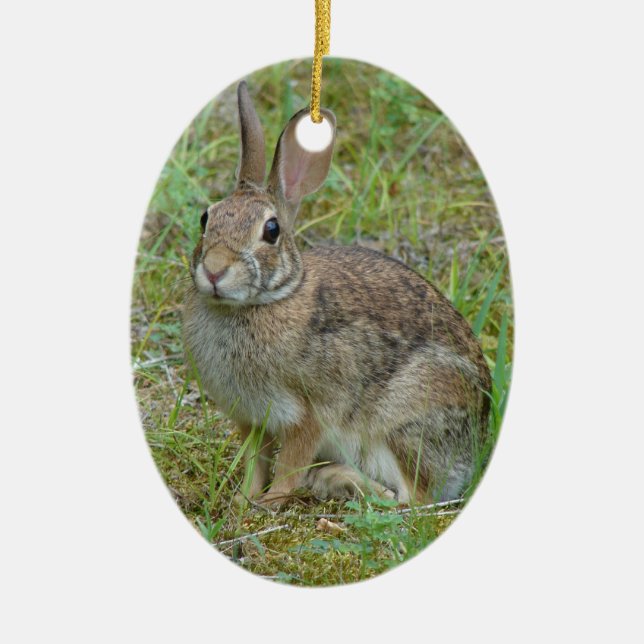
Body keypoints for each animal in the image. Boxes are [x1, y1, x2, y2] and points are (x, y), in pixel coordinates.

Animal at [182, 81, 492, 508]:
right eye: (205, 218)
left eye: (272, 230)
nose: (213, 269)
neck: (264, 301)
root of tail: (474, 447)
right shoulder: (251, 419)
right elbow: (255, 462)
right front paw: (244, 501)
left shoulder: (306, 414)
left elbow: (290, 466)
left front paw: (270, 503)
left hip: (405, 419)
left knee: (410, 499)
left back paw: (336, 478)